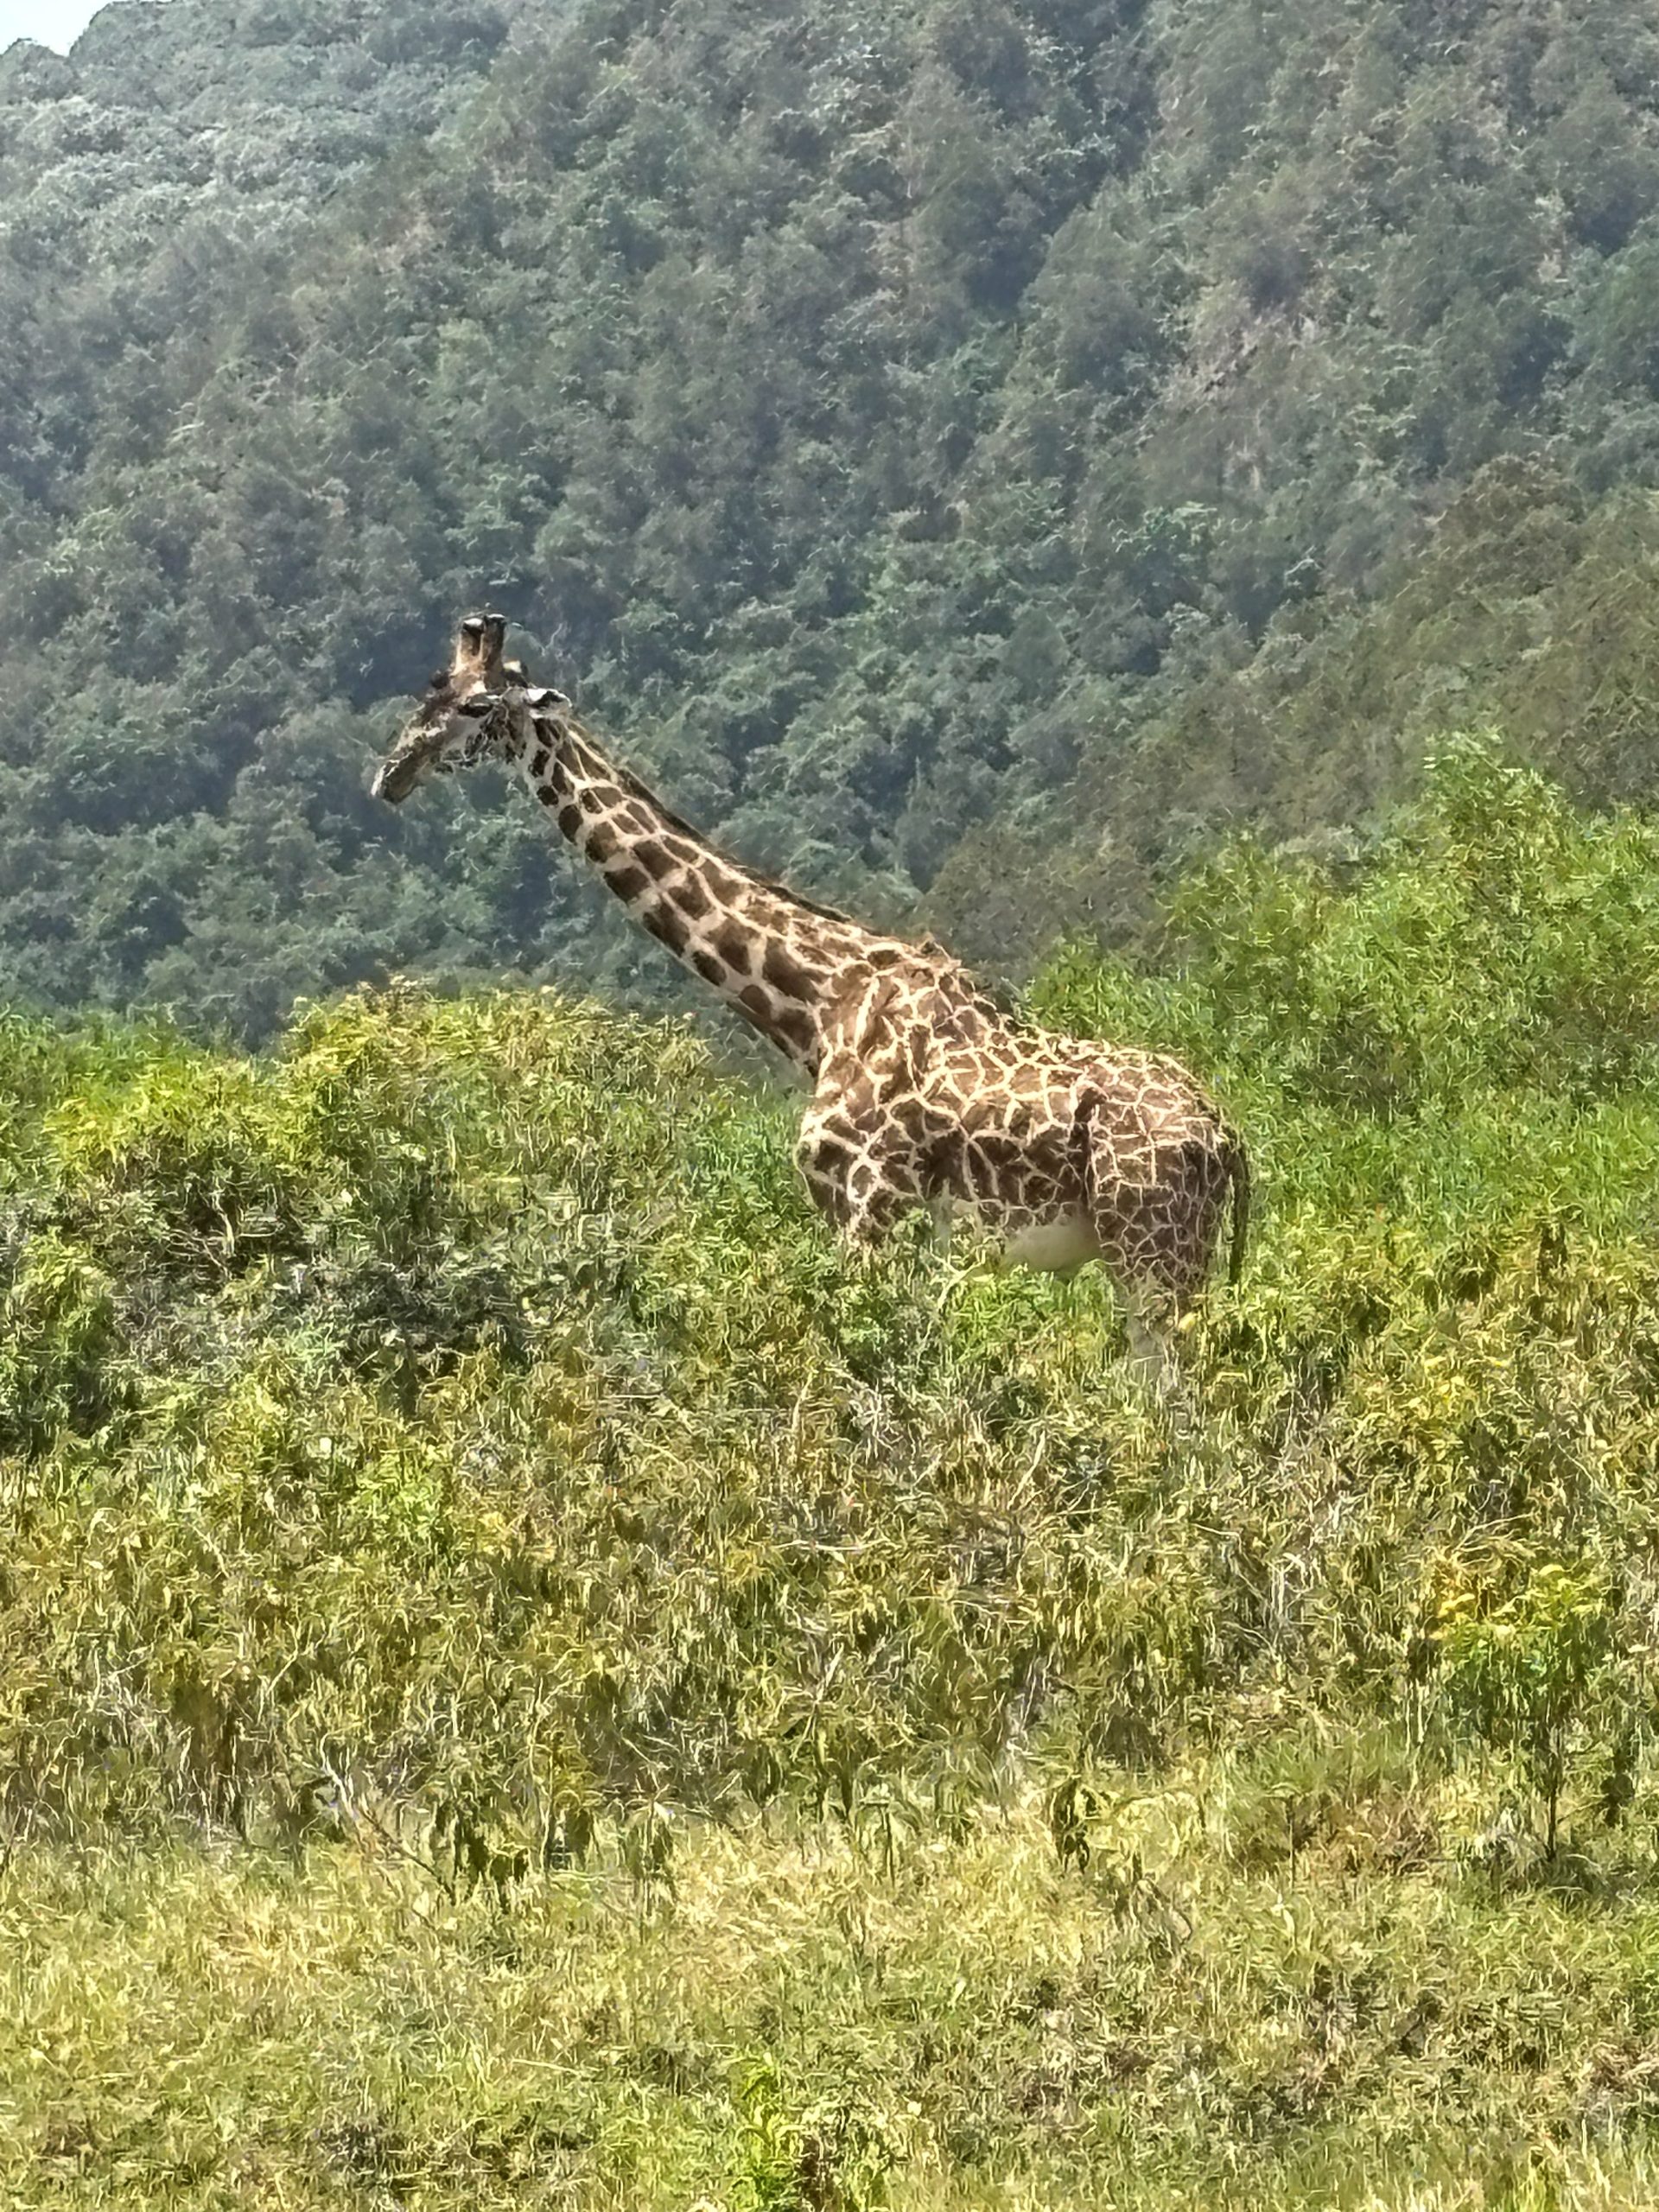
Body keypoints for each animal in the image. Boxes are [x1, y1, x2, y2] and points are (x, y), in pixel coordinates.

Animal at [372, 615, 1250, 1348]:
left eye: (478, 707)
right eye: (429, 689)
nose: (392, 775)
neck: (821, 1004)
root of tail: (1227, 1139)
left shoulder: (865, 1207)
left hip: (1150, 1253)